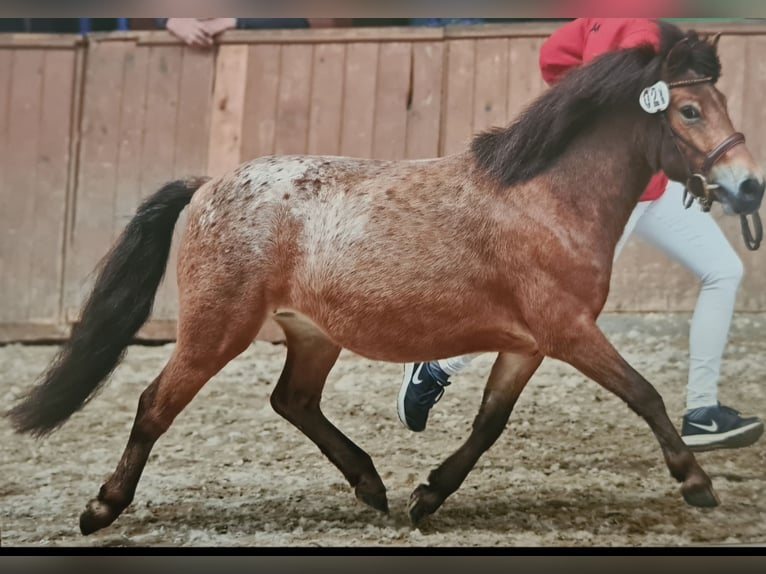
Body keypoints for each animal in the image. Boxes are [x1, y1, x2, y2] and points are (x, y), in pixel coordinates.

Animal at [7, 22, 766, 536]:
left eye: (724, 104)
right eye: (690, 110)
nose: (748, 186)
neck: (547, 197)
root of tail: (207, 185)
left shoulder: (527, 343)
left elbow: (489, 422)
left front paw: (429, 494)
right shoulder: (569, 330)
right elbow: (645, 395)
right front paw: (696, 482)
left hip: (312, 334)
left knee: (292, 401)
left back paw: (371, 485)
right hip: (215, 328)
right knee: (154, 405)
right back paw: (101, 507)